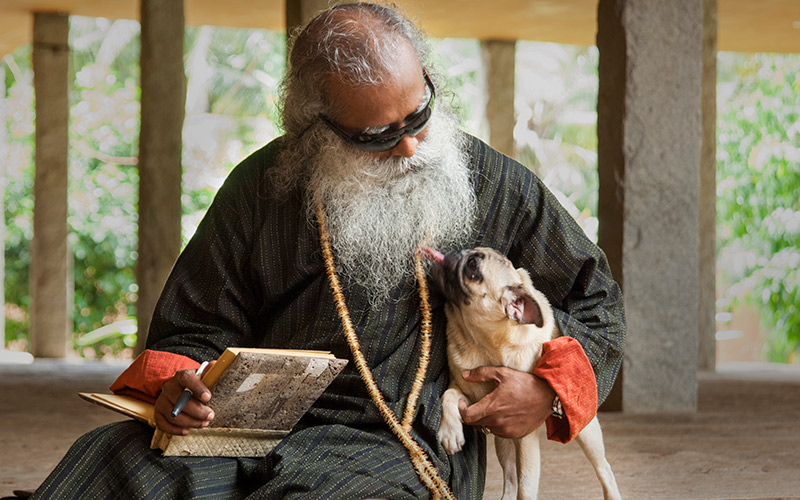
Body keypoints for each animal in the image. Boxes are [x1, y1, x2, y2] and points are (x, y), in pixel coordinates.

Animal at [424, 247, 620, 500]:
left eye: (473, 268)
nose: (455, 253)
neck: (482, 342)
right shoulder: (466, 393)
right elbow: (447, 396)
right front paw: (450, 432)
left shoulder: (524, 434)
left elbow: (526, 488)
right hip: (503, 440)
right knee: (510, 478)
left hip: (586, 431)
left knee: (603, 468)